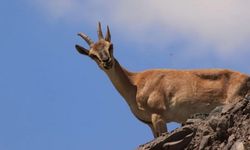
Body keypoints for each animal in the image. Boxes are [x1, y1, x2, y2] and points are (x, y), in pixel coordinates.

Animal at [75, 22, 250, 137]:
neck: (135, 83)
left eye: (111, 46)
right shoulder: (149, 123)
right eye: (92, 55)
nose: (107, 61)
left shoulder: (158, 114)